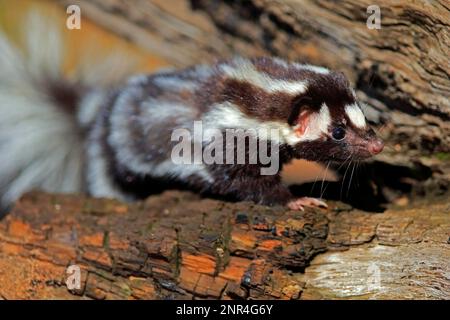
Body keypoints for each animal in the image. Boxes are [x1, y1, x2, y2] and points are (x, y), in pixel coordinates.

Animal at [0, 13, 384, 212]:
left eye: (363, 119)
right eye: (338, 132)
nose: (376, 146)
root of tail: (95, 115)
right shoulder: (226, 139)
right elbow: (240, 179)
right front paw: (296, 201)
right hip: (111, 157)